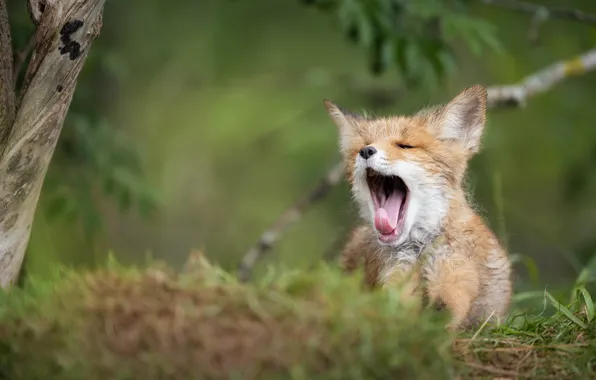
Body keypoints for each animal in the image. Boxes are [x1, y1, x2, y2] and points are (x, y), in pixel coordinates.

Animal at [326, 84, 512, 328]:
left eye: (405, 146)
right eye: (364, 145)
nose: (366, 152)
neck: (419, 250)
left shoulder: (454, 273)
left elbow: (445, 309)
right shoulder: (395, 275)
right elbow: (396, 309)